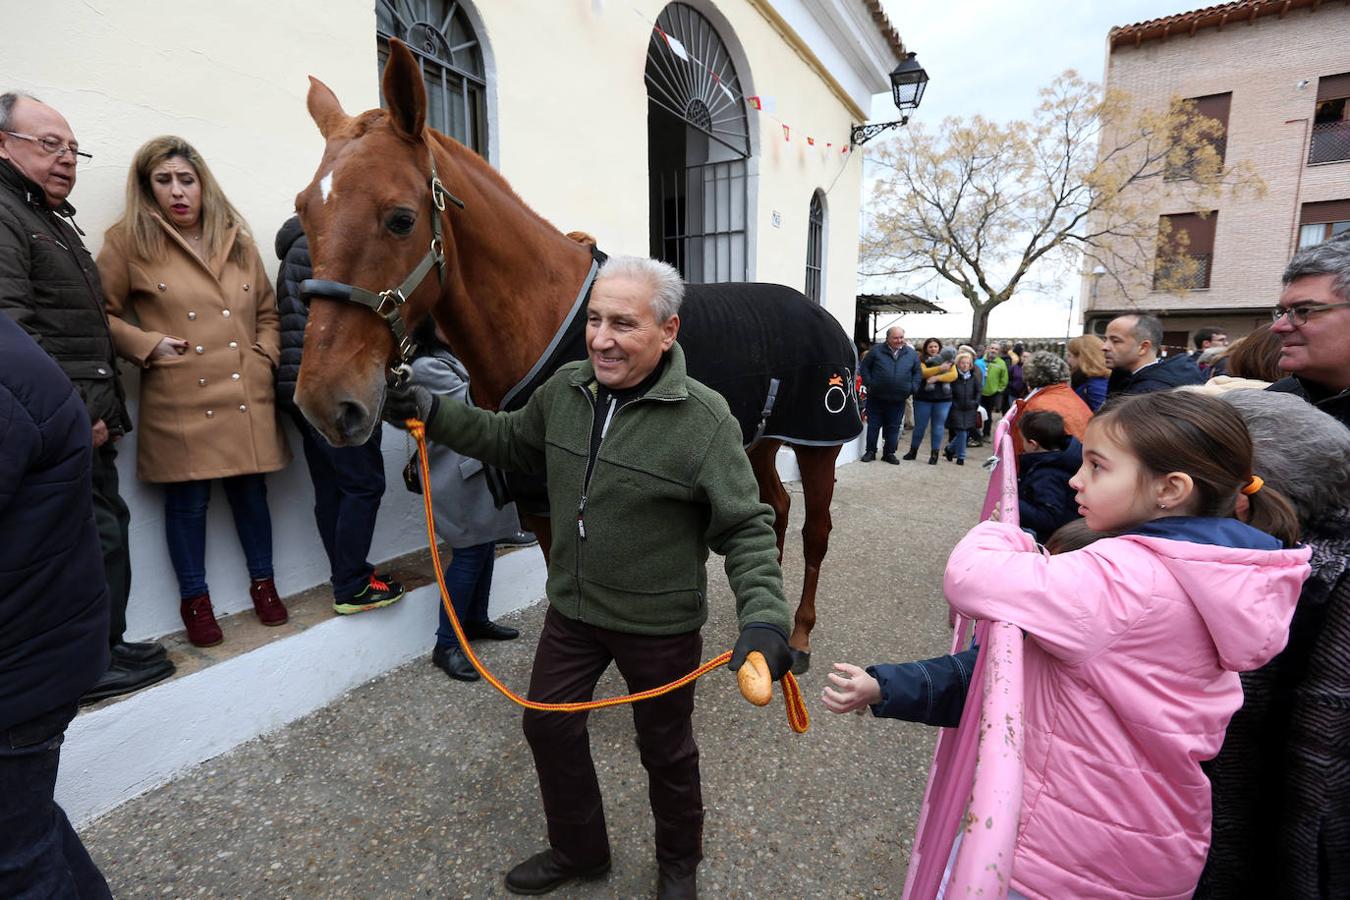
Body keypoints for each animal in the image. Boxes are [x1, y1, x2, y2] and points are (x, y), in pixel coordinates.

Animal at [299, 43, 858, 674]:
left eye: (401, 218)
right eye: (304, 212)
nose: (325, 401)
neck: (546, 319)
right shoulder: (543, 503)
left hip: (819, 441)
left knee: (815, 529)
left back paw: (800, 636)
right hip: (758, 441)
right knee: (777, 508)